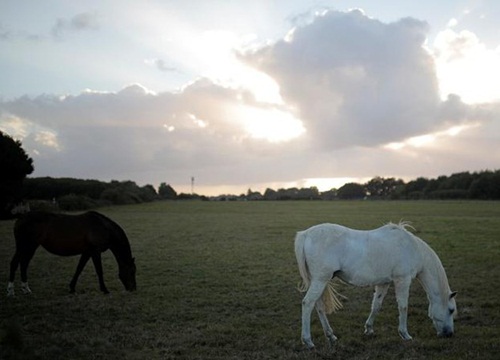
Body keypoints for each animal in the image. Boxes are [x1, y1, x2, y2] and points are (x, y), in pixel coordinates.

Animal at [7, 211, 137, 296]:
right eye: (132, 271)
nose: (133, 289)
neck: (104, 227)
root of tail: (21, 217)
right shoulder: (95, 251)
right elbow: (99, 271)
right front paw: (105, 290)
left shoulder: (87, 252)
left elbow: (79, 268)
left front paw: (72, 288)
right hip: (25, 246)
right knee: (15, 263)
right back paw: (11, 291)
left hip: (31, 247)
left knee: (24, 264)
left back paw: (26, 289)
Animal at [294, 222, 458, 348]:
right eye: (451, 310)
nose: (449, 334)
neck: (412, 249)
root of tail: (305, 234)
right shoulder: (403, 280)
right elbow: (403, 307)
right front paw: (405, 334)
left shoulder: (384, 282)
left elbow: (376, 306)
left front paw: (369, 329)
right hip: (320, 280)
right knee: (307, 303)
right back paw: (308, 341)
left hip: (319, 281)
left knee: (319, 307)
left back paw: (331, 336)